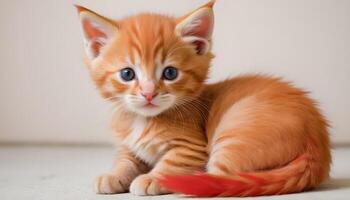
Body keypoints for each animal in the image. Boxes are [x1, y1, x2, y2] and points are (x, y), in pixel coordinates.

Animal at [74, 0, 330, 197]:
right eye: (127, 74)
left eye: (170, 73)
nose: (148, 93)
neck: (143, 120)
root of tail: (316, 144)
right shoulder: (130, 146)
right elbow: (125, 160)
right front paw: (113, 175)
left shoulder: (192, 147)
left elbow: (172, 162)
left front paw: (152, 178)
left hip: (234, 131)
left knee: (221, 179)